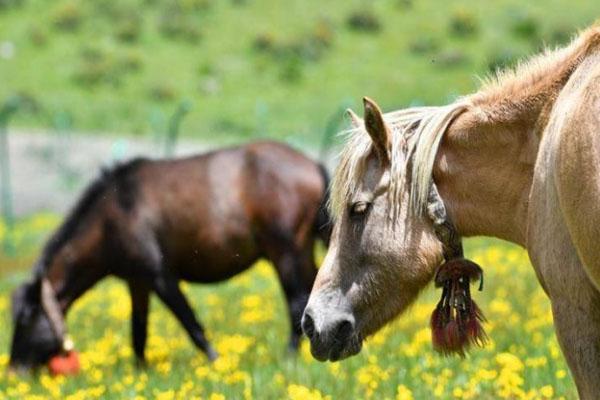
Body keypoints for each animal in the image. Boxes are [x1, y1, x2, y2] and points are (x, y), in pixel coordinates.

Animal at [7, 141, 330, 372]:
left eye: (24, 319)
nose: (12, 370)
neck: (113, 215)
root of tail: (312, 165)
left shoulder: (160, 276)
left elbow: (191, 324)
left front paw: (216, 363)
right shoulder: (137, 282)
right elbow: (138, 331)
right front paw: (139, 373)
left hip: (285, 252)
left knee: (296, 302)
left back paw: (289, 358)